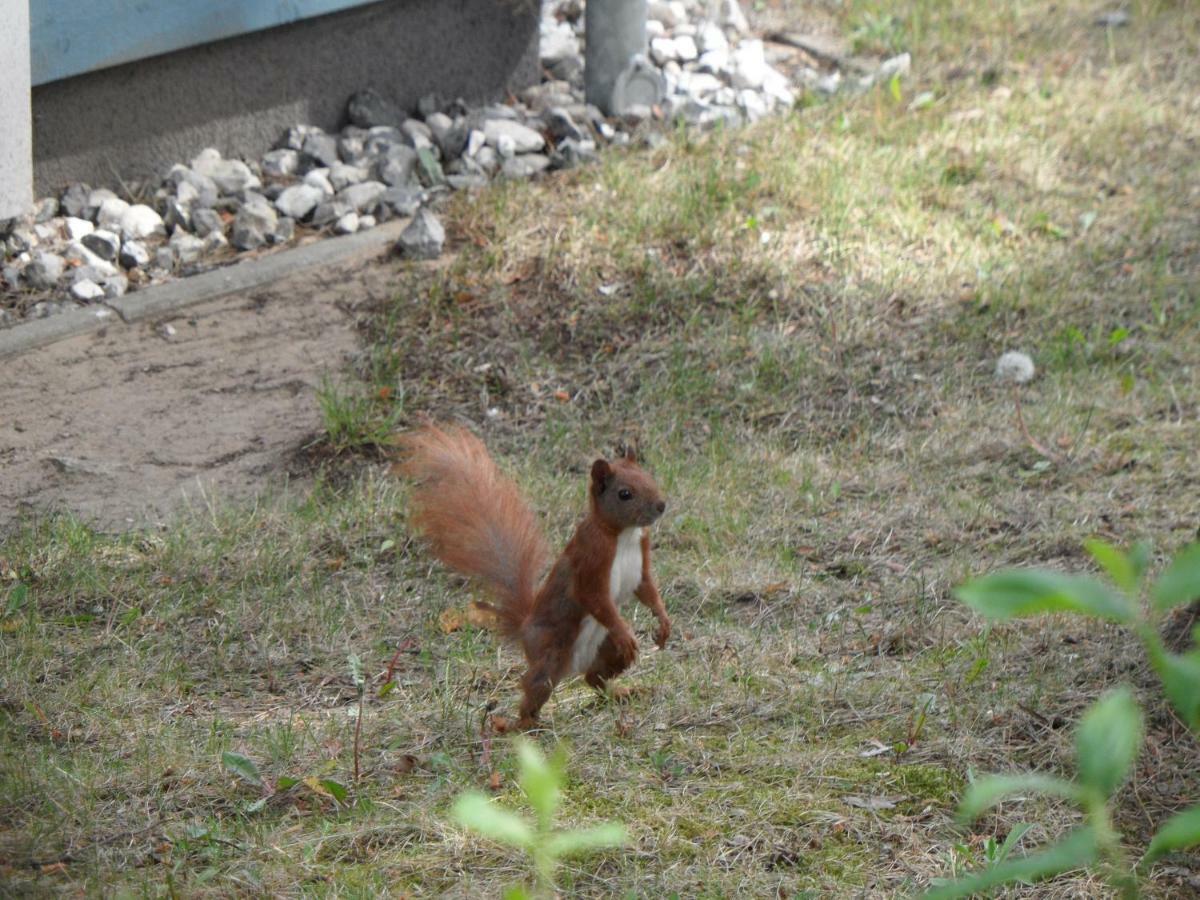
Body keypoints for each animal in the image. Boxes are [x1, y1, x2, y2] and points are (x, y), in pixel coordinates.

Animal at [398, 427, 672, 729]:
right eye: (625, 494)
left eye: (650, 478)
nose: (661, 505)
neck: (623, 534)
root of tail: (525, 628)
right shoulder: (590, 559)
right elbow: (594, 597)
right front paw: (627, 631)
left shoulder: (641, 558)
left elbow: (647, 589)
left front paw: (663, 623)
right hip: (550, 654)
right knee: (536, 686)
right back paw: (518, 725)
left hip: (607, 648)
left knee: (594, 677)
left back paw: (623, 692)